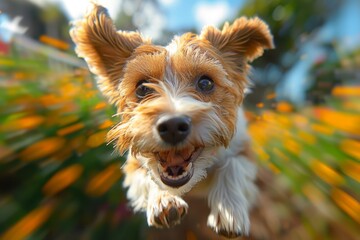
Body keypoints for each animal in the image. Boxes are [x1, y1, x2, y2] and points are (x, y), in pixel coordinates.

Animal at [69, 4, 272, 238]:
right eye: (142, 88)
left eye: (205, 83)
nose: (172, 126)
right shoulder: (133, 163)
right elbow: (146, 175)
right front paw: (163, 200)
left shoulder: (243, 148)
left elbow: (233, 165)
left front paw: (229, 212)